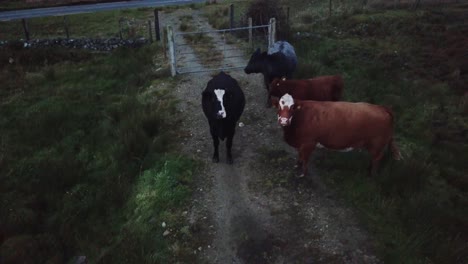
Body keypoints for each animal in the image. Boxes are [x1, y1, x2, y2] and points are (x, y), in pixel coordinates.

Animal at [272, 93, 400, 177]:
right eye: (278, 106)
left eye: (292, 107)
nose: (283, 121)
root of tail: (381, 107)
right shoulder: (302, 142)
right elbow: (300, 155)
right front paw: (297, 165)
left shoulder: (309, 143)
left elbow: (305, 158)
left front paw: (303, 173)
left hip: (377, 145)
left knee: (376, 159)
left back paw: (371, 175)